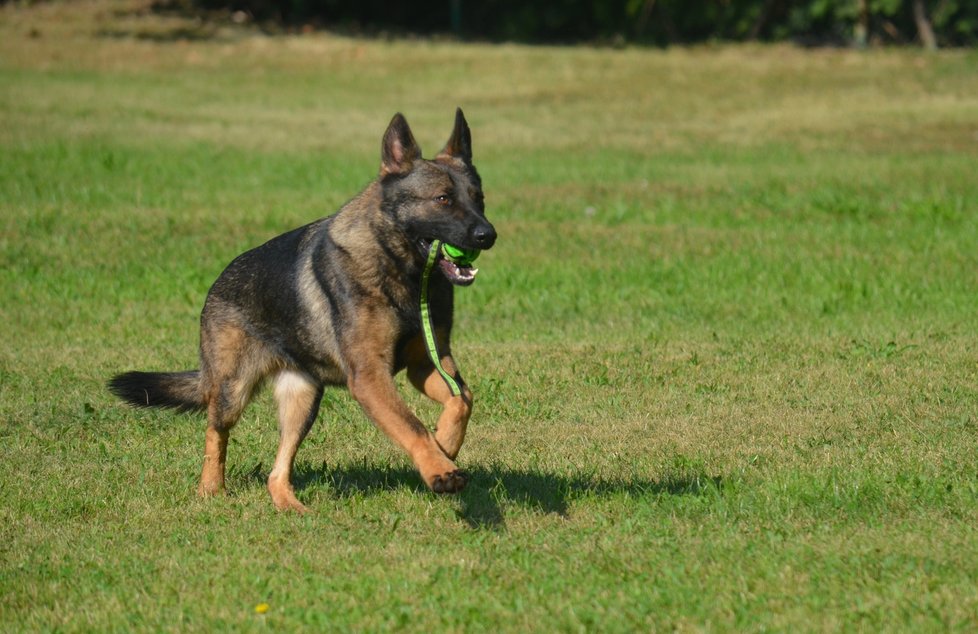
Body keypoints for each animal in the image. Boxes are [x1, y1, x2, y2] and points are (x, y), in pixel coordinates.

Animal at [108, 108, 496, 512]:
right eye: (443, 199)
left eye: (479, 198)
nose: (488, 235)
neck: (403, 270)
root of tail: (218, 283)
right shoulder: (369, 377)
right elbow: (413, 426)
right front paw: (440, 468)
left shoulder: (425, 364)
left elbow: (463, 399)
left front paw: (445, 445)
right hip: (234, 389)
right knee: (216, 432)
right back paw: (211, 489)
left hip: (304, 399)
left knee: (276, 471)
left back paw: (292, 508)